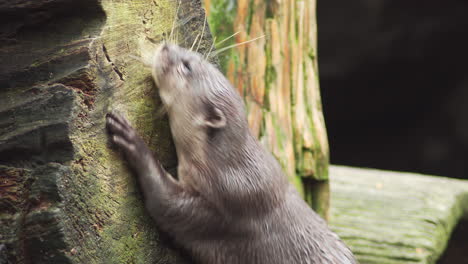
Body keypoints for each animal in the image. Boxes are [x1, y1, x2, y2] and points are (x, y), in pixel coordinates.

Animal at [106, 42, 356, 262]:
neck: (230, 167)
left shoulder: (228, 206)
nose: (167, 46)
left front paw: (133, 141)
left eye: (186, 67)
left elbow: (165, 204)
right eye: (195, 56)